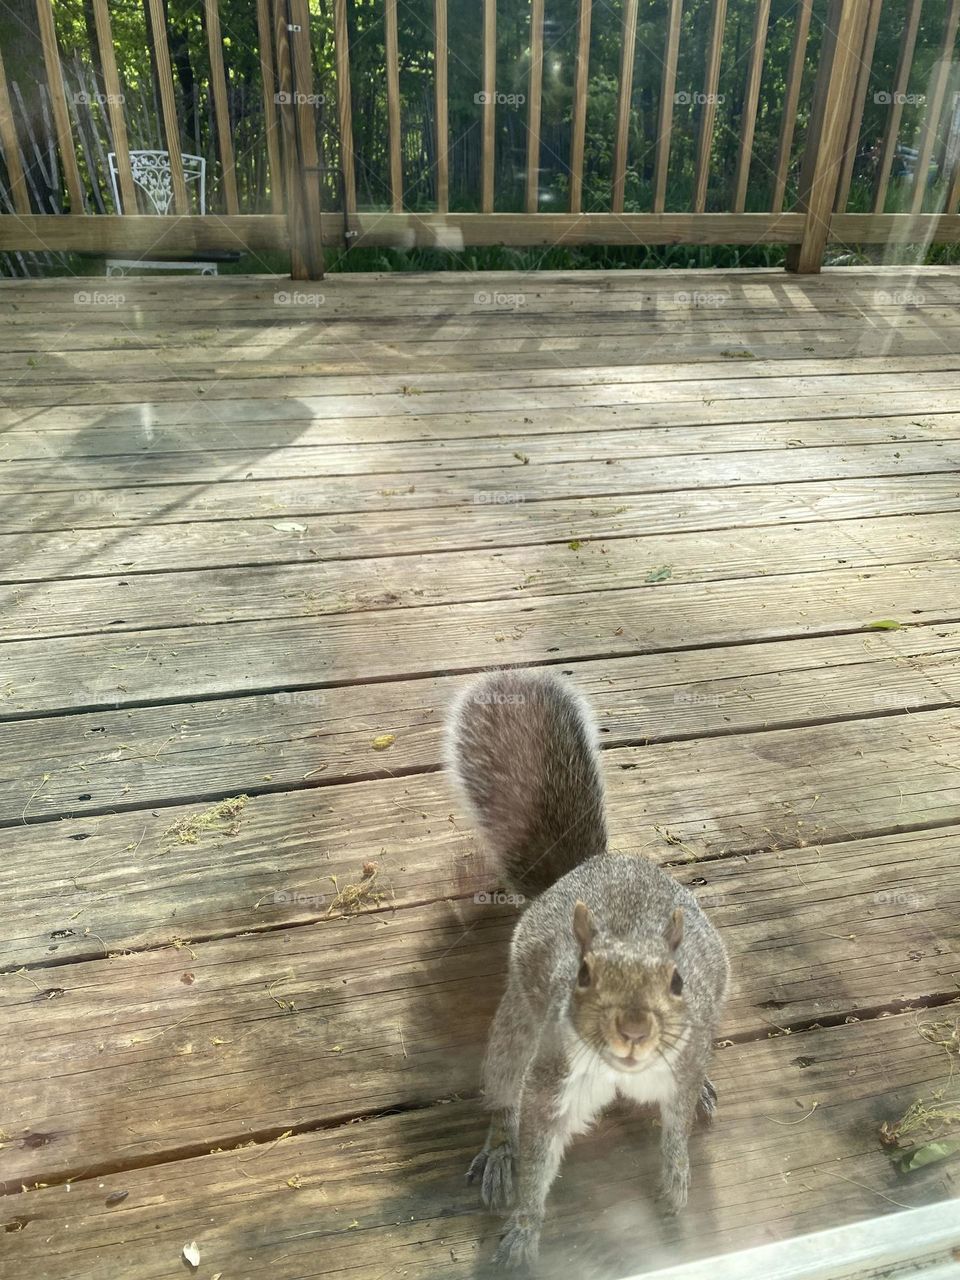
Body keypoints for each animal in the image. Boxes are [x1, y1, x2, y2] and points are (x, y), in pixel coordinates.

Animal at [445, 668, 730, 1270]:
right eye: (582, 975)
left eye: (678, 980)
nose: (633, 1030)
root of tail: (585, 866)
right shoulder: (554, 1076)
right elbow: (538, 1151)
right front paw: (523, 1230)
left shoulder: (682, 1064)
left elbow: (676, 1132)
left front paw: (676, 1187)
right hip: (516, 1024)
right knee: (503, 1087)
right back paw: (499, 1151)